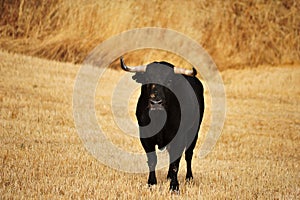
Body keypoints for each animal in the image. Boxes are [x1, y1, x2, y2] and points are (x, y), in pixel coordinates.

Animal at [120, 56, 205, 191]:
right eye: (148, 79)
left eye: (169, 80)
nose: (156, 102)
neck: (159, 119)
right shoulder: (145, 137)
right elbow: (152, 160)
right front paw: (151, 183)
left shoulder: (179, 138)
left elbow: (176, 163)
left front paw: (174, 187)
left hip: (194, 131)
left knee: (188, 154)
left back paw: (189, 178)